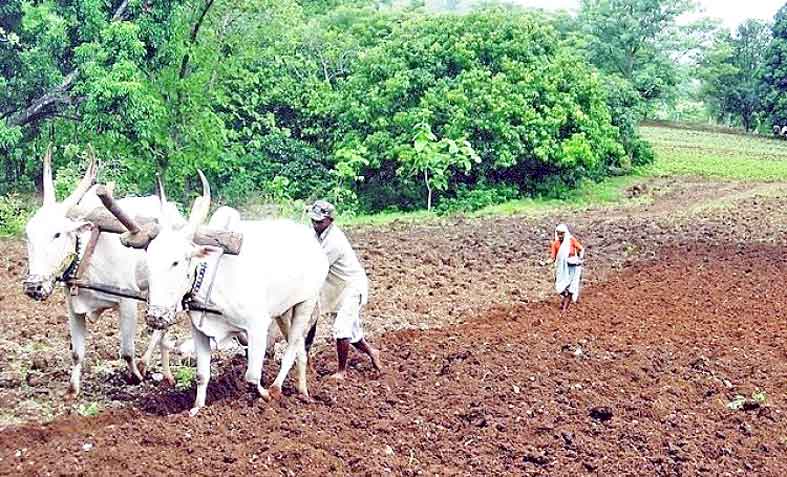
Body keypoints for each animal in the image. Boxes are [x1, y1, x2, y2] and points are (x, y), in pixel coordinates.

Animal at [22, 146, 177, 396]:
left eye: (57, 234)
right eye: (28, 234)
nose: (33, 286)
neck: (87, 256)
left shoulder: (127, 303)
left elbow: (127, 351)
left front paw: (135, 376)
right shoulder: (73, 307)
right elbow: (77, 353)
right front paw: (72, 390)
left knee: (163, 330)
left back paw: (152, 366)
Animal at [108, 172, 328, 416]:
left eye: (177, 261)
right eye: (149, 261)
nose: (156, 317)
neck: (211, 280)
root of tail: (312, 243)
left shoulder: (257, 327)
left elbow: (252, 377)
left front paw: (264, 396)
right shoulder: (199, 331)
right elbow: (202, 375)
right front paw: (197, 409)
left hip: (306, 303)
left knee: (291, 350)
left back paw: (278, 389)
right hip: (284, 312)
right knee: (299, 348)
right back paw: (302, 392)